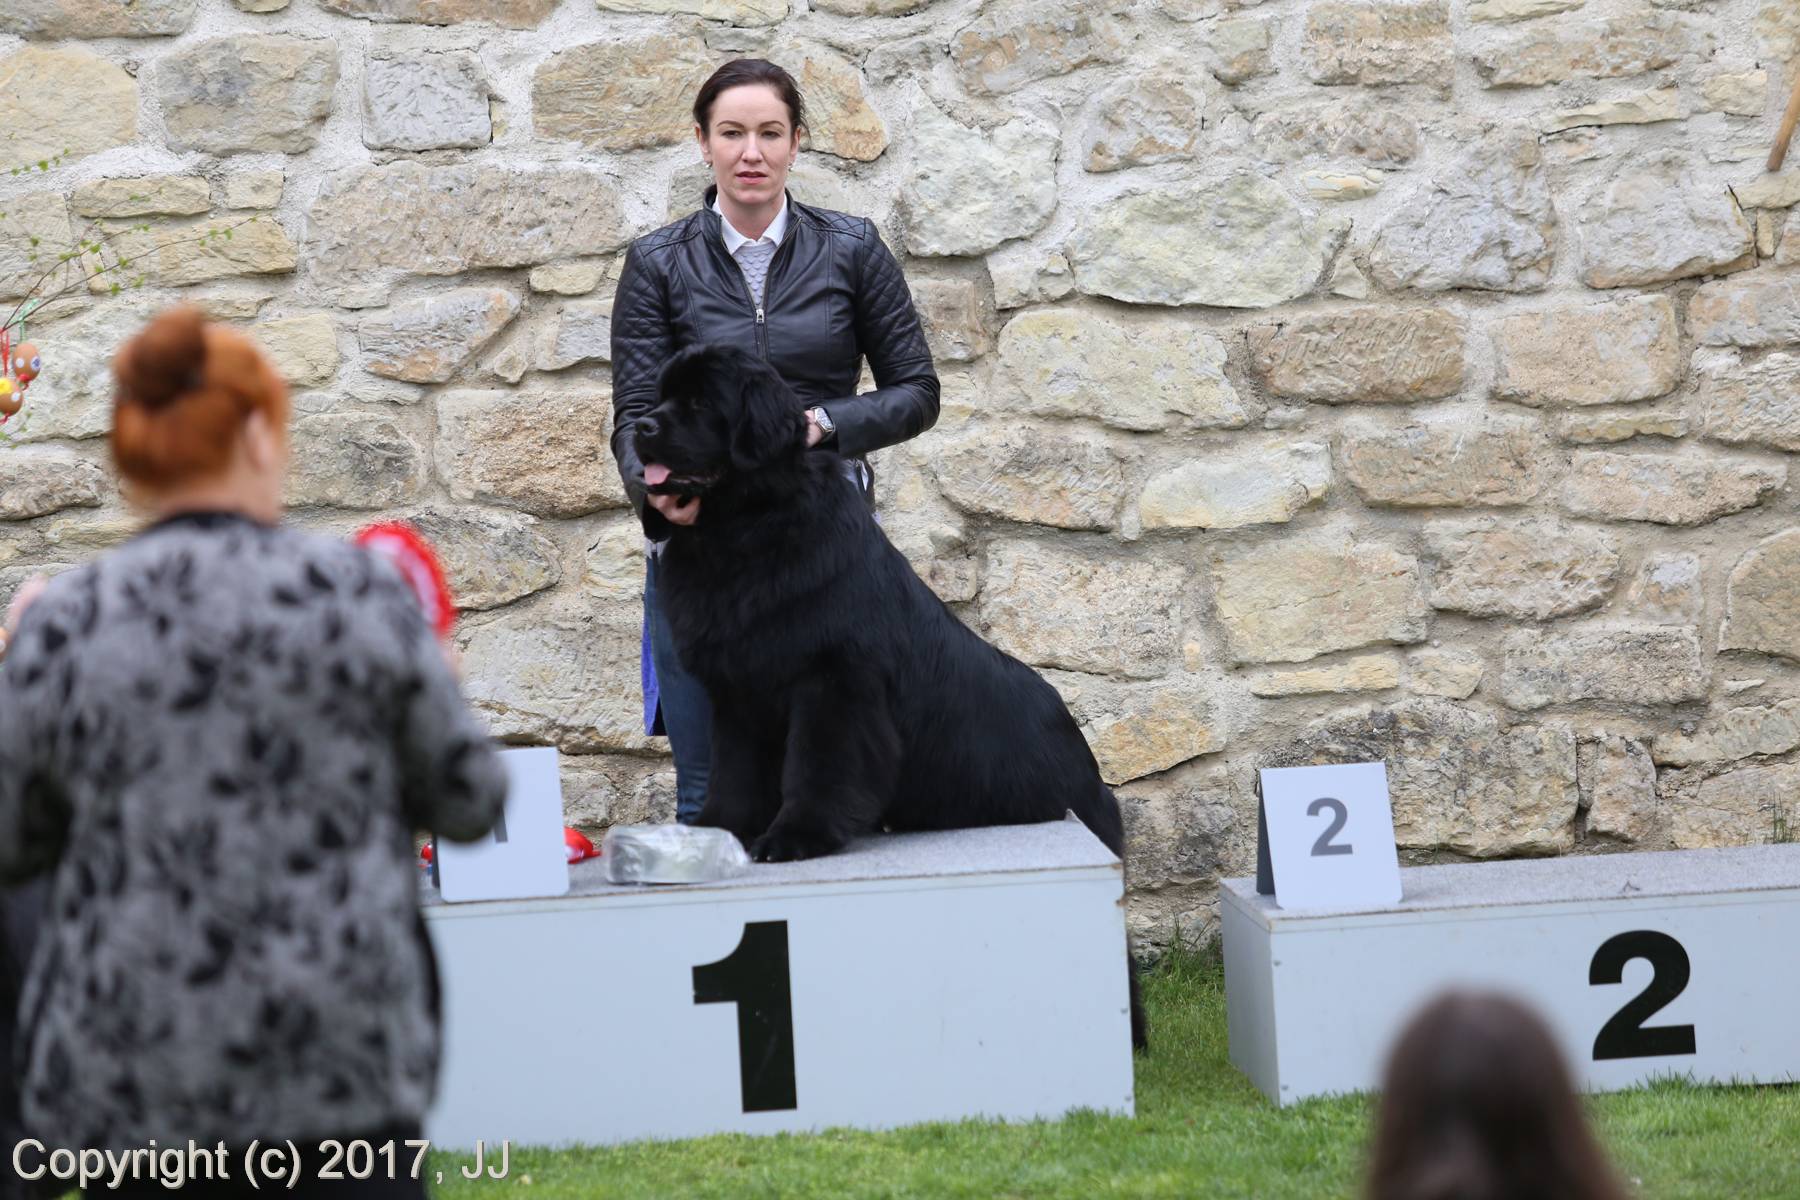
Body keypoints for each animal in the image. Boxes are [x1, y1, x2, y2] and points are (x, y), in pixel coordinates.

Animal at [634, 343, 1146, 1049]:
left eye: (699, 402)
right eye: (659, 396)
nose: (640, 427)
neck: (745, 530)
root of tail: (1091, 767)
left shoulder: (834, 687)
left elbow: (818, 769)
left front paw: (795, 838)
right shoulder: (738, 694)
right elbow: (735, 774)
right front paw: (717, 828)